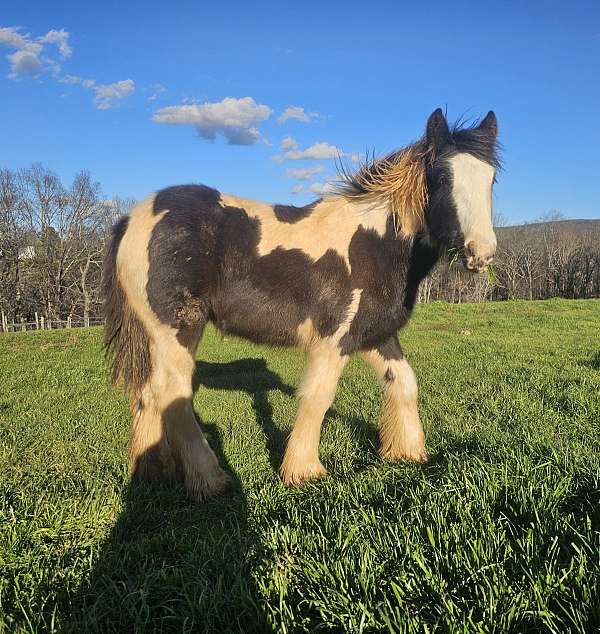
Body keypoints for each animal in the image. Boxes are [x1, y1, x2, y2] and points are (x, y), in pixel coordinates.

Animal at [103, 108, 502, 502]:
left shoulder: (374, 336)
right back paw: (210, 479)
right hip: (178, 329)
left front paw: (406, 452)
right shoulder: (334, 339)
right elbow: (318, 397)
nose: (481, 253)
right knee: (172, 395)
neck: (374, 245)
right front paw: (303, 471)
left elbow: (403, 383)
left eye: (492, 180)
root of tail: (131, 220)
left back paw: (154, 471)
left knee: (147, 393)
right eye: (442, 177)